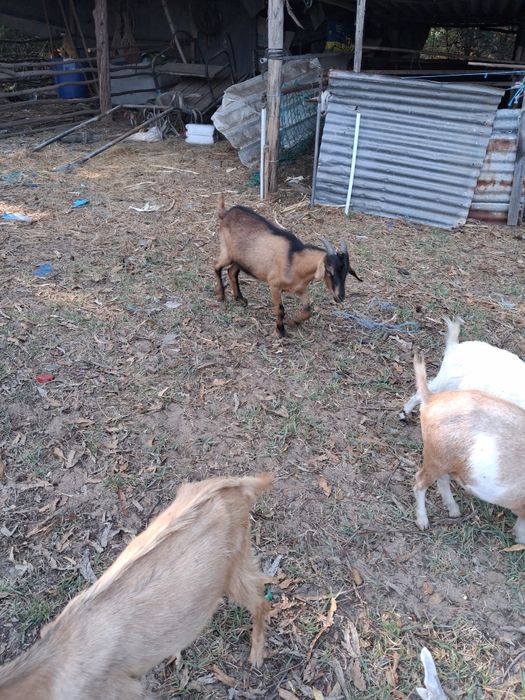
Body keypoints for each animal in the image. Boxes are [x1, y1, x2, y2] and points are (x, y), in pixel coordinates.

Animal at [214, 194, 362, 336]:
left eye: (346, 273)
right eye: (329, 271)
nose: (340, 296)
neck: (295, 261)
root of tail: (226, 213)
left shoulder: (300, 289)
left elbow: (308, 310)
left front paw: (293, 322)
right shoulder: (274, 285)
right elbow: (280, 309)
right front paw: (280, 331)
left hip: (240, 260)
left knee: (232, 272)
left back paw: (240, 299)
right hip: (227, 252)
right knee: (216, 266)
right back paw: (221, 296)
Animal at [413, 353, 525, 543]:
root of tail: (430, 398)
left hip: (445, 460)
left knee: (442, 480)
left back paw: (454, 511)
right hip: (435, 457)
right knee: (419, 481)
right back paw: (423, 522)